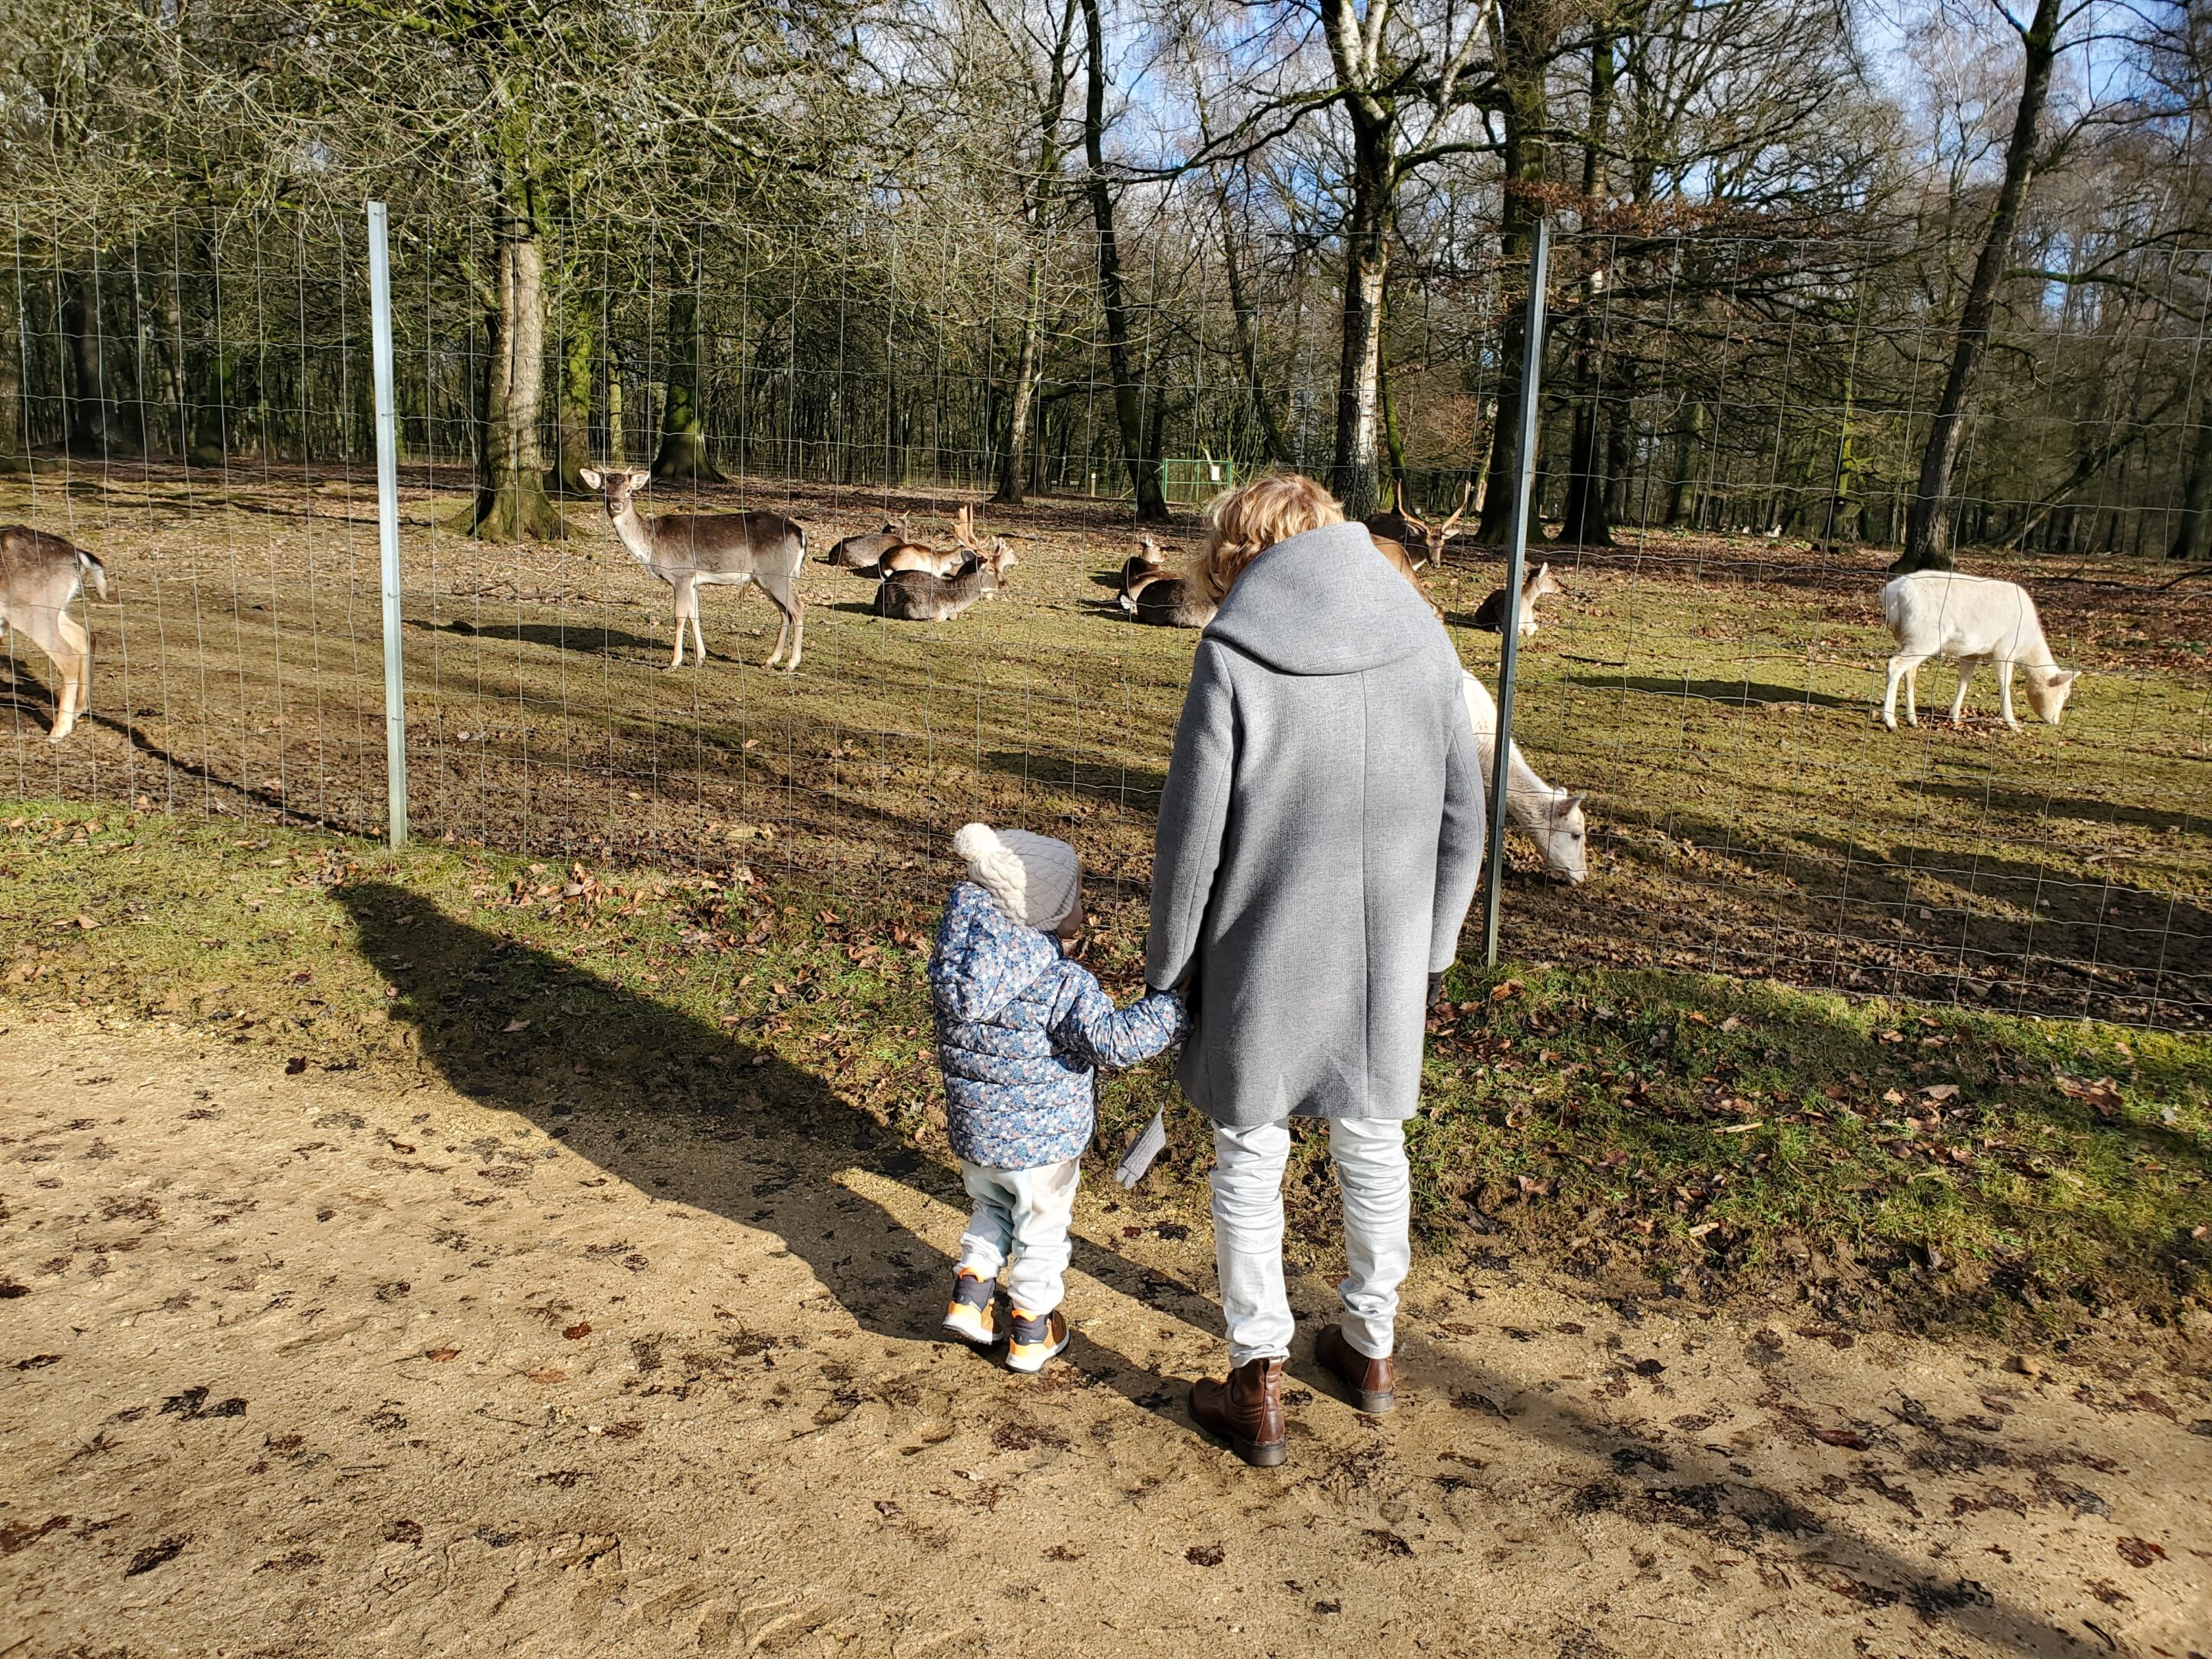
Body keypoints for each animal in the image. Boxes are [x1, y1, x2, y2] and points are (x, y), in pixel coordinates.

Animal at [0, 528, 106, 743]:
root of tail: (77, 555)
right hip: (53, 611)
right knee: (85, 636)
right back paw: (78, 710)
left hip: (31, 613)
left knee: (69, 656)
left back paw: (58, 731)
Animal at [579, 464, 805, 672]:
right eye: (604, 490)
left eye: (628, 490)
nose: (616, 504)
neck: (652, 545)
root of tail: (801, 534)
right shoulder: (692, 582)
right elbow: (694, 614)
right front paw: (700, 658)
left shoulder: (681, 575)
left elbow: (680, 617)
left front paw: (674, 663)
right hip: (765, 578)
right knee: (785, 612)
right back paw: (770, 660)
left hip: (775, 574)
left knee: (797, 607)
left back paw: (791, 664)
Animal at [1884, 571, 2070, 734]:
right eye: (2065, 694)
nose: (2055, 721)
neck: (2027, 644)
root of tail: (1893, 594)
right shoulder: (2004, 651)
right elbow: (2005, 683)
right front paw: (2013, 724)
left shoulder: (1971, 653)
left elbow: (1965, 680)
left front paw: (1954, 716)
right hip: (1924, 637)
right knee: (1895, 665)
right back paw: (1890, 721)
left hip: (1909, 638)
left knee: (1910, 671)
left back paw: (1912, 719)